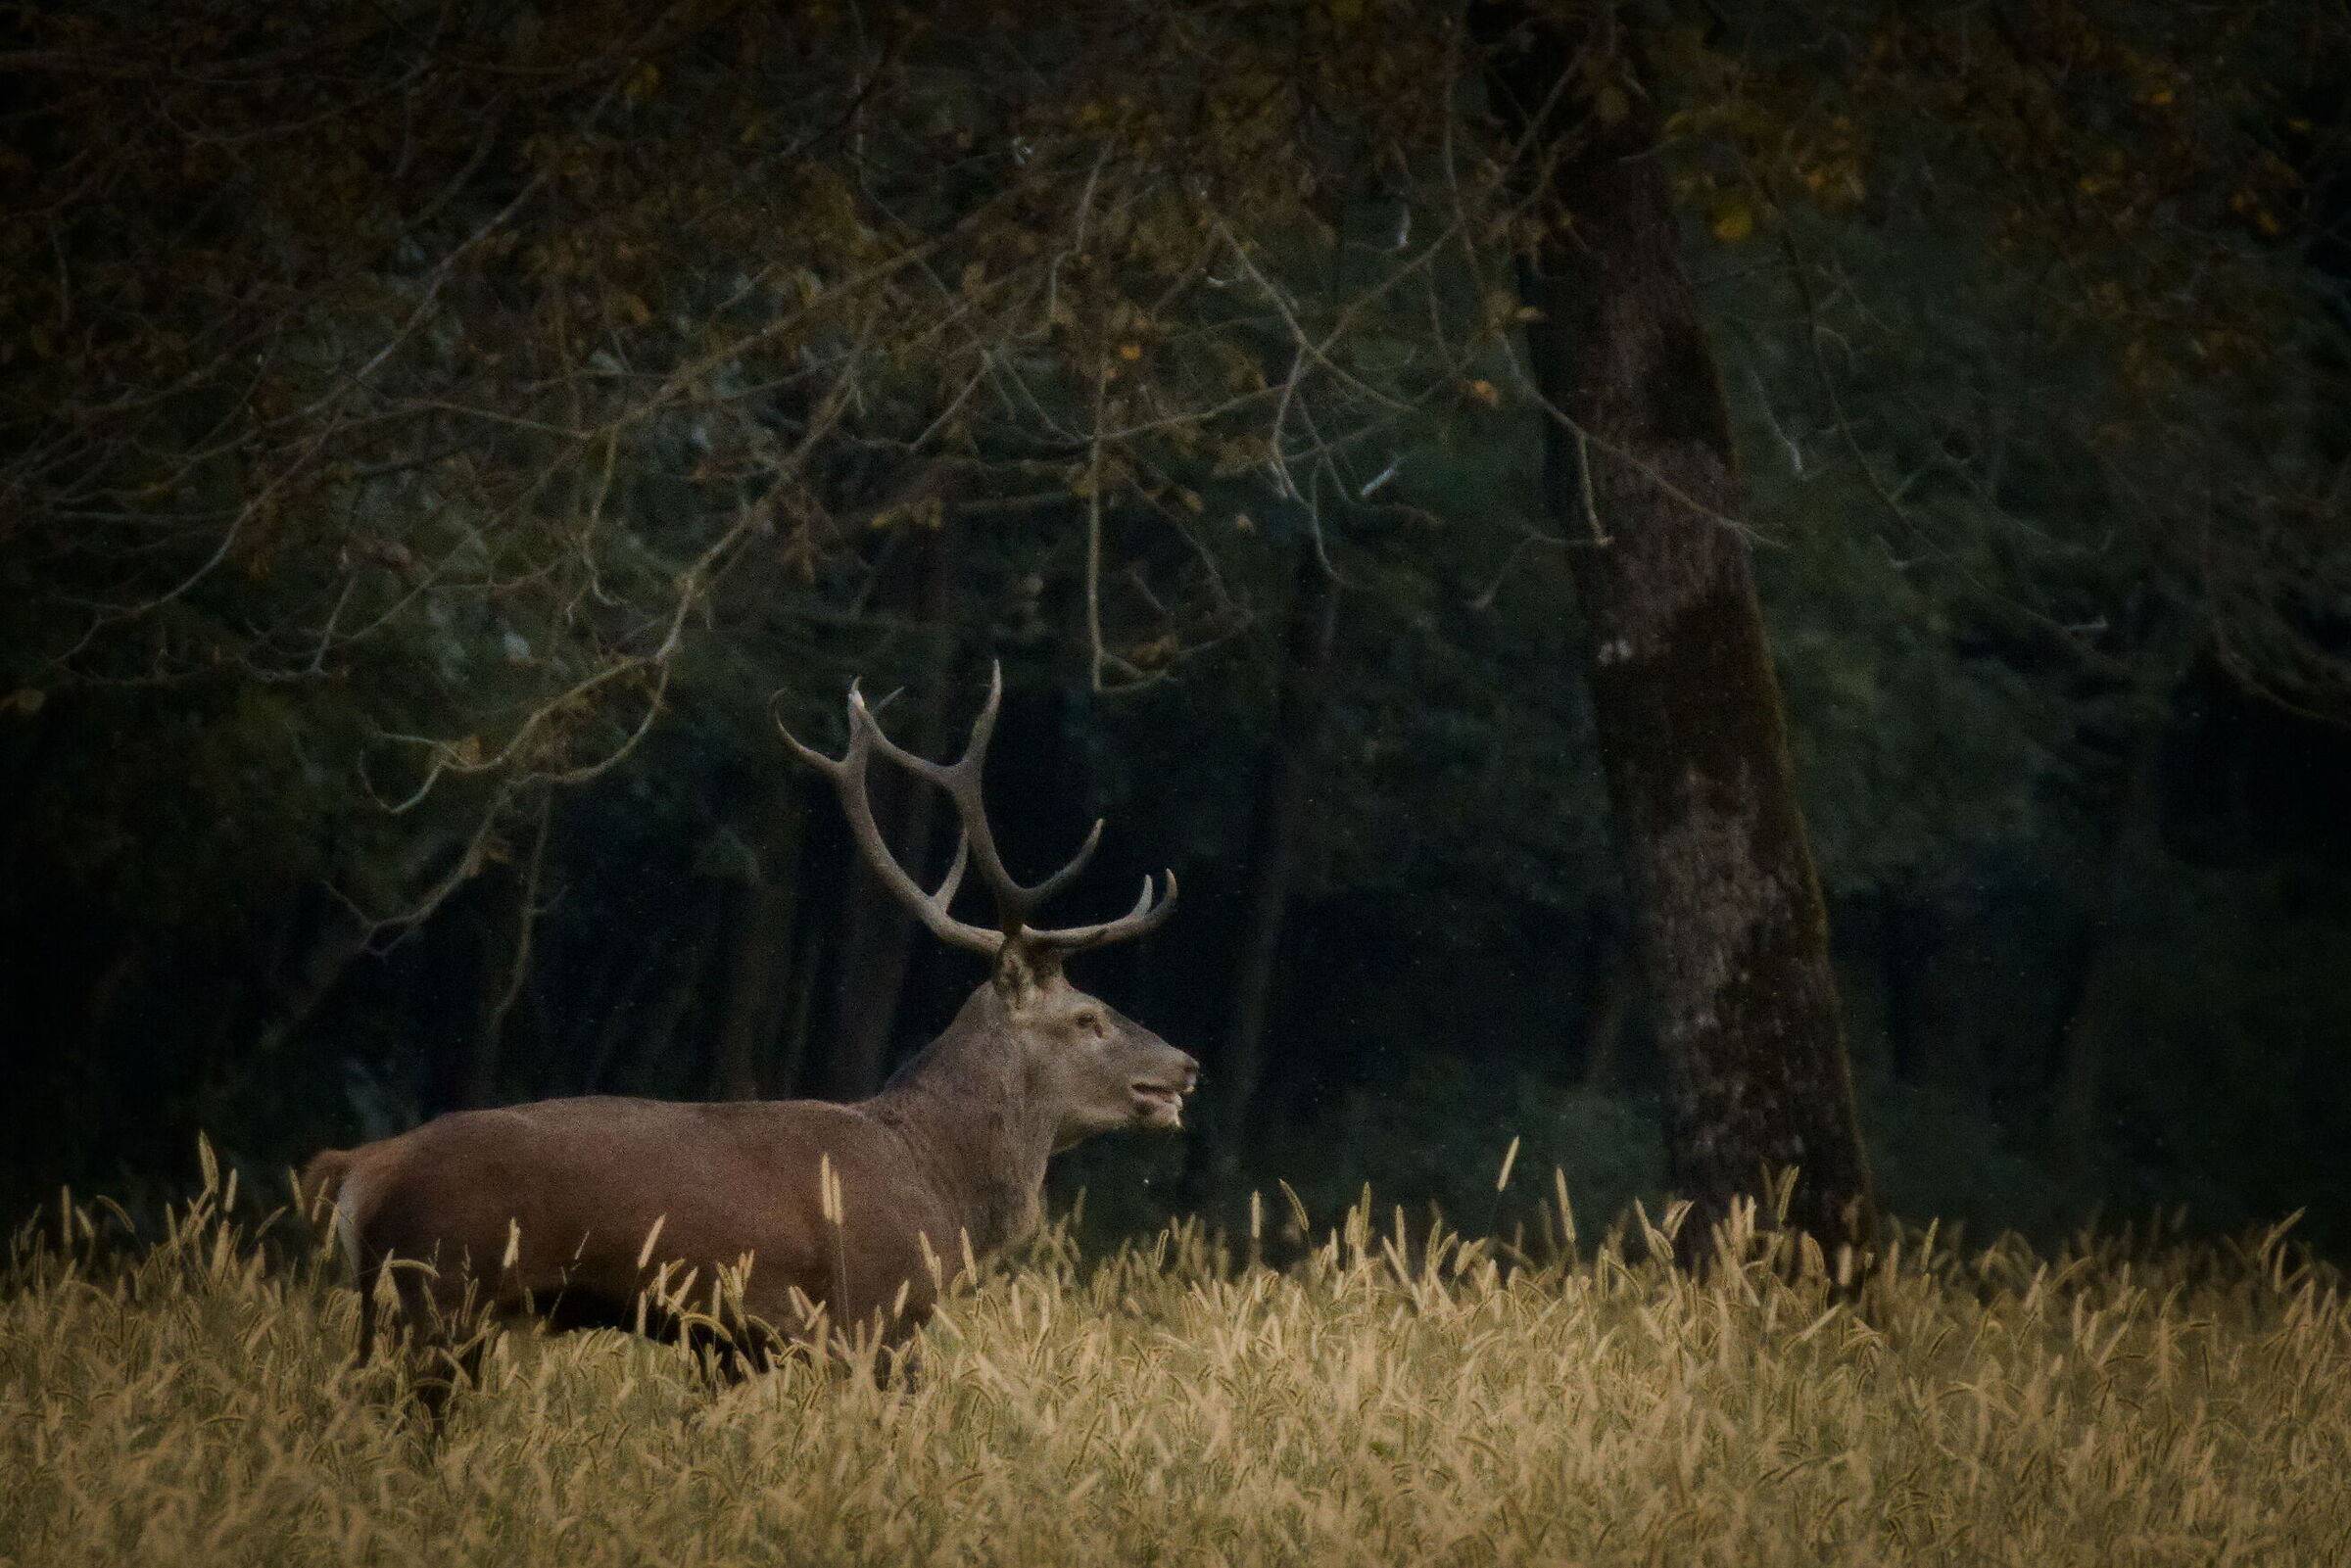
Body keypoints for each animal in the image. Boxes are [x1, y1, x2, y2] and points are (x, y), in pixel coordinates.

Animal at [300, 666, 1197, 1417]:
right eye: (1089, 1017)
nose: (1186, 1063)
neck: (941, 1186)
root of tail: (358, 1168)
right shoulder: (871, 1315)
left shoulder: (740, 1344)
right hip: (441, 1294)